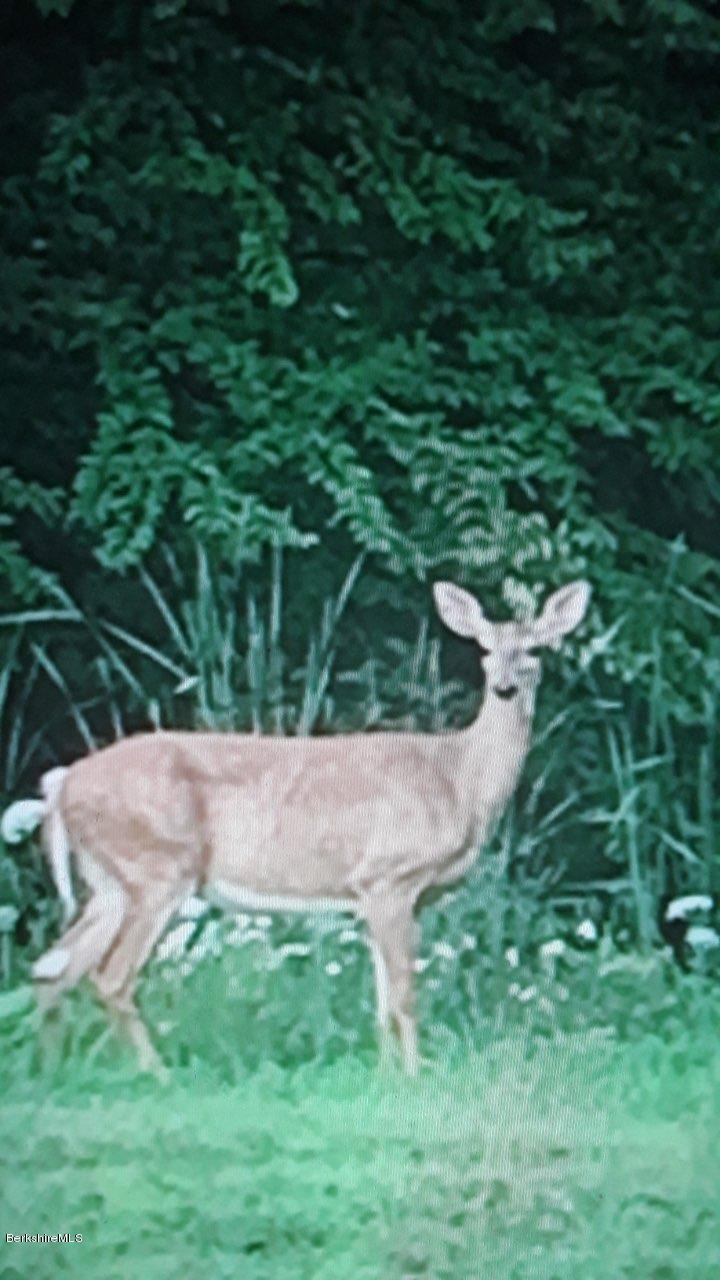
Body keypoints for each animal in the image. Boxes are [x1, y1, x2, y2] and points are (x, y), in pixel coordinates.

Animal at [26, 577, 590, 1076]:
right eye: (485, 651)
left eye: (535, 650)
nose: (505, 687)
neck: (459, 779)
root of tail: (63, 784)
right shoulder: (390, 875)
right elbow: (404, 995)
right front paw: (415, 1077)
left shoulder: (378, 893)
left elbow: (382, 1000)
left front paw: (385, 1076)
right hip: (157, 866)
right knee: (109, 976)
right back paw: (157, 1075)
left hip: (109, 880)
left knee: (51, 969)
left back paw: (52, 1073)